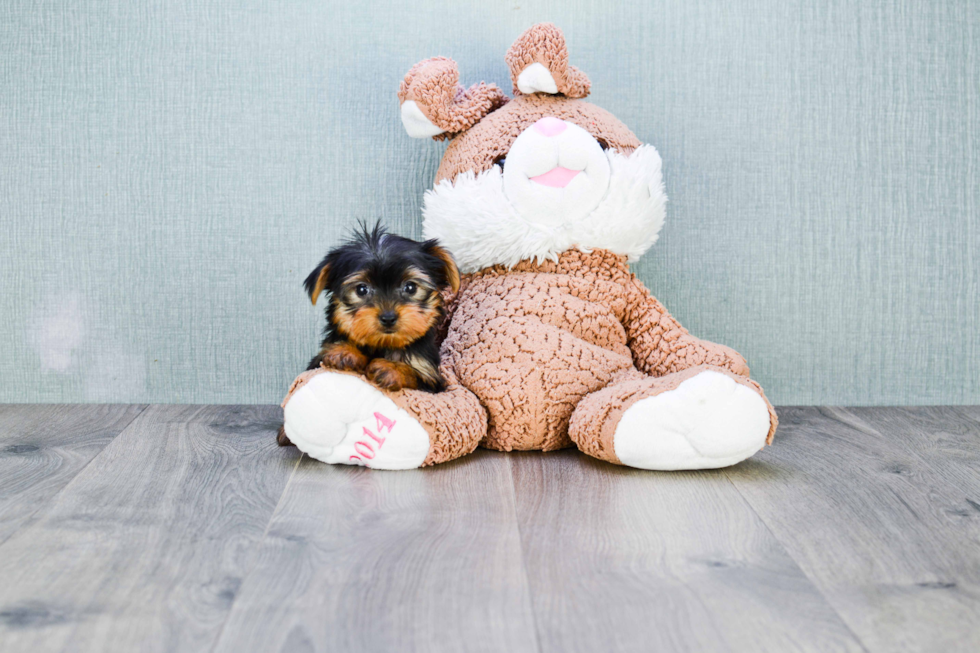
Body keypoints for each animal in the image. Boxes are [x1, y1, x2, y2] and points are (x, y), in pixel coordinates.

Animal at [276, 222, 460, 446]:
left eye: (410, 287)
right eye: (361, 289)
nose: (388, 317)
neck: (383, 344)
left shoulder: (431, 379)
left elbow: (414, 375)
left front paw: (391, 369)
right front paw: (346, 352)